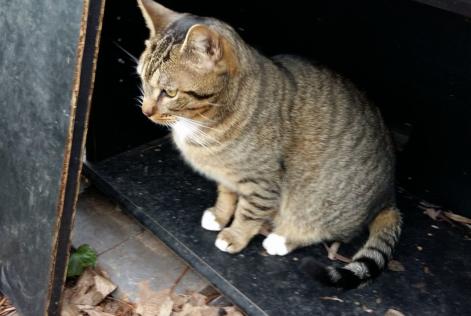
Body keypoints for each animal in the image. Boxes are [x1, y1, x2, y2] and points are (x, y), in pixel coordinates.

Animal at [136, 0, 402, 288]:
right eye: (142, 80)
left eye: (170, 92)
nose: (145, 112)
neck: (204, 119)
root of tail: (388, 196)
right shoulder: (227, 175)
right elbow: (227, 195)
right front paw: (219, 216)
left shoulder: (263, 181)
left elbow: (249, 212)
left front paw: (234, 236)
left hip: (321, 202)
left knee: (320, 227)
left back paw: (282, 239)